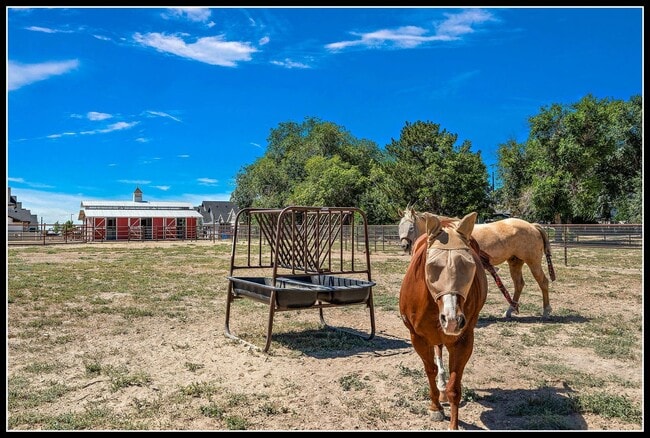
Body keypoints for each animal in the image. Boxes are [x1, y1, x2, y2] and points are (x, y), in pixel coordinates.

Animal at [399, 212, 488, 430]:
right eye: (432, 267)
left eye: (469, 265)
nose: (452, 319)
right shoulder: (418, 338)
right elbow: (430, 369)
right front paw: (435, 407)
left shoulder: (463, 340)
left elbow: (454, 387)